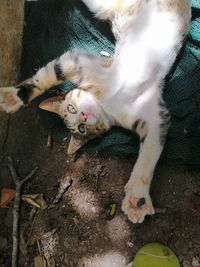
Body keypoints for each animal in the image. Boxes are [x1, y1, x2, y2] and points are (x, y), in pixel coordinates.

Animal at [0, 0, 191, 224]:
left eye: (71, 107)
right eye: (81, 129)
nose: (83, 116)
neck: (107, 104)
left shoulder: (80, 62)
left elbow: (48, 76)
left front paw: (15, 96)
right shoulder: (154, 118)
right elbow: (148, 155)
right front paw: (137, 198)